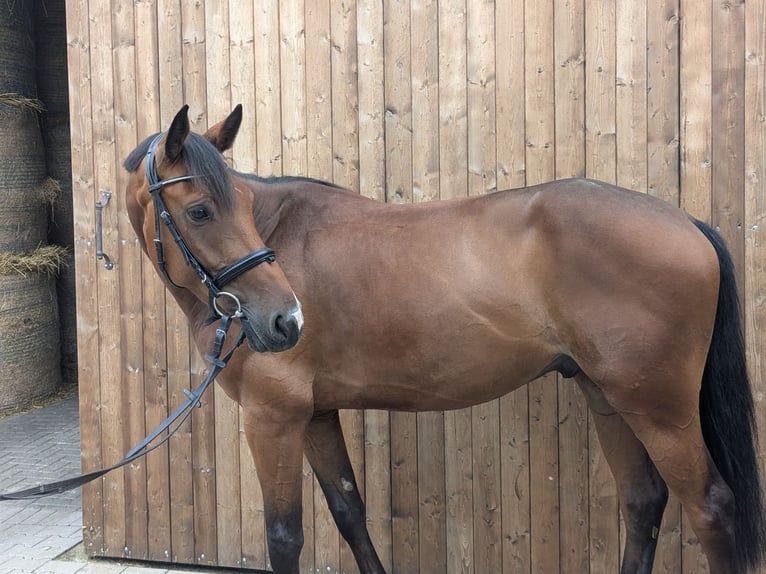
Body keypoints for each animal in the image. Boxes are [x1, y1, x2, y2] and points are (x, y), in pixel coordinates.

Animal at [127, 104, 766, 574]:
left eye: (238, 204)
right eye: (203, 210)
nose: (286, 321)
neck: (283, 236)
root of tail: (687, 223)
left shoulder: (272, 417)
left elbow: (285, 537)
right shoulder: (314, 415)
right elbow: (350, 512)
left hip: (660, 411)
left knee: (710, 508)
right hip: (608, 396)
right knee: (643, 501)